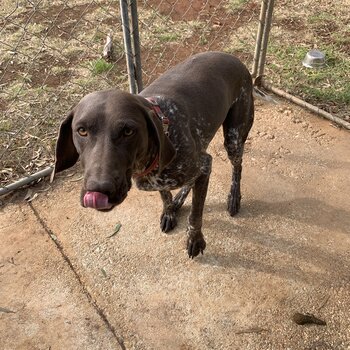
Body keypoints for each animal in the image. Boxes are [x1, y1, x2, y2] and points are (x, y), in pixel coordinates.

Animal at [52, 52, 254, 260]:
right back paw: (179, 200)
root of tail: (233, 58)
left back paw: (234, 197)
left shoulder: (205, 165)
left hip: (233, 138)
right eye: (81, 131)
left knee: (237, 167)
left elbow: (196, 213)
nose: (99, 190)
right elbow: (165, 195)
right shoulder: (173, 174)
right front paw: (170, 210)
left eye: (128, 131)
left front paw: (195, 239)